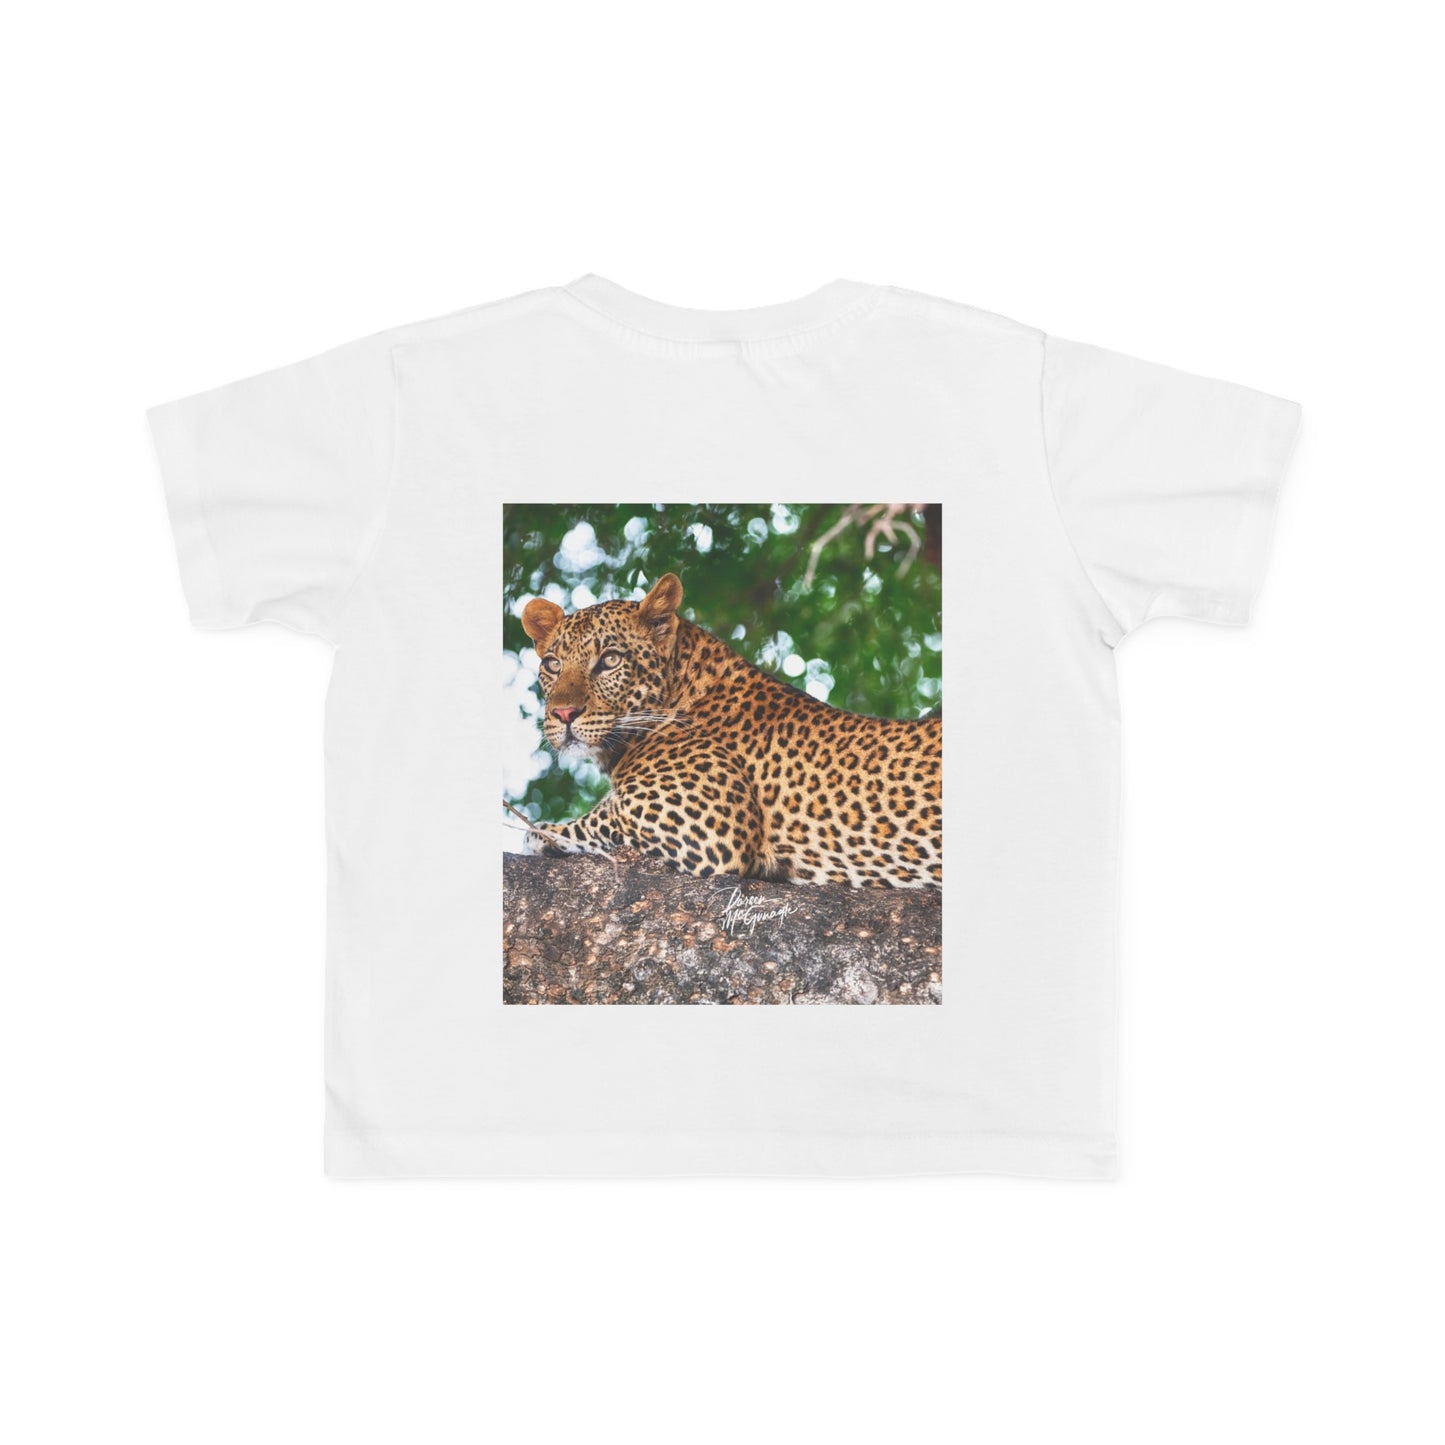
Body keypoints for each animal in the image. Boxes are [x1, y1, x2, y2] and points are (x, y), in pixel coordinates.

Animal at [519, 572, 942, 888]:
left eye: (609, 660)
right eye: (553, 665)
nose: (563, 713)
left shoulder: (701, 824)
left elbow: (598, 818)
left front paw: (541, 831)